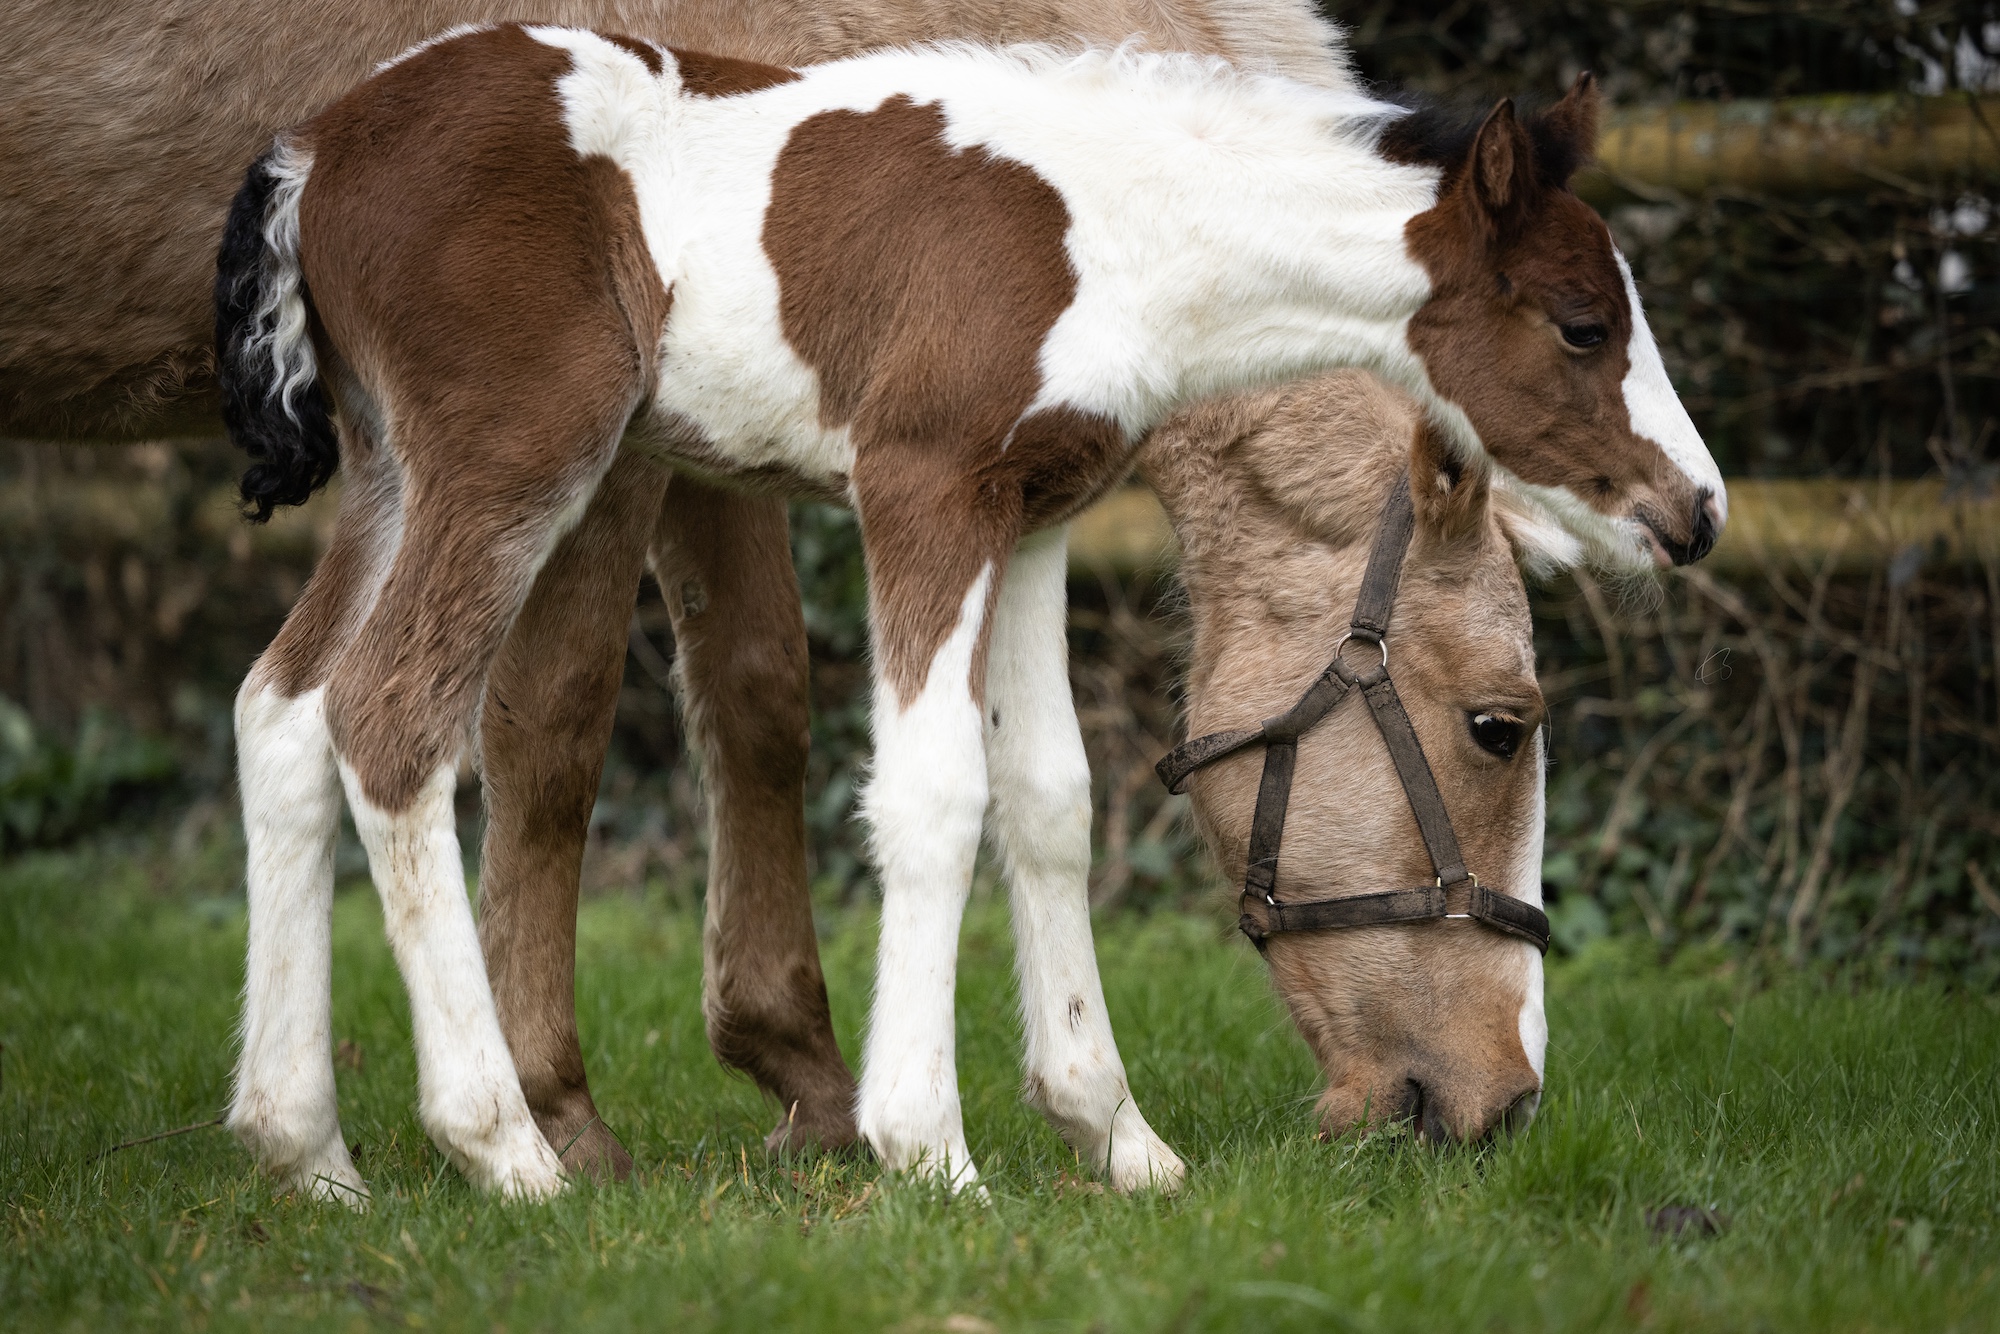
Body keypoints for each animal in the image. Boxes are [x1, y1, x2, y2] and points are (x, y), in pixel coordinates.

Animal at [215, 28, 1720, 1200]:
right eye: (1583, 325)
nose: (1693, 510)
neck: (1111, 228)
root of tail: (315, 150)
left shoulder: (1035, 511)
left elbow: (1049, 793)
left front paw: (1118, 1138)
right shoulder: (921, 489)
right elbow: (934, 791)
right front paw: (926, 1143)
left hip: (392, 473)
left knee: (282, 709)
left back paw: (306, 1149)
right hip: (514, 460)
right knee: (389, 719)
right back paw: (505, 1149)